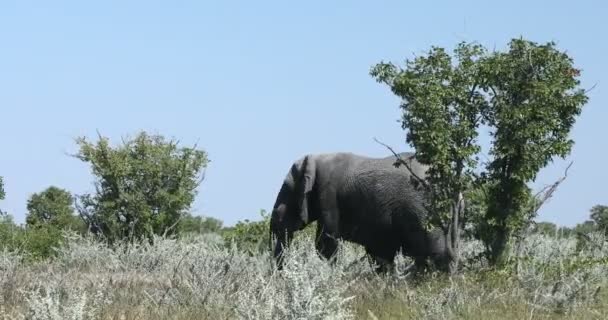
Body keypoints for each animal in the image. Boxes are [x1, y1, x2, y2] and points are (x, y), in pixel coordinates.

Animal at [270, 151, 452, 274]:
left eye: (286, 189)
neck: (316, 159)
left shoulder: (328, 197)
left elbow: (325, 244)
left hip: (423, 208)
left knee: (432, 250)